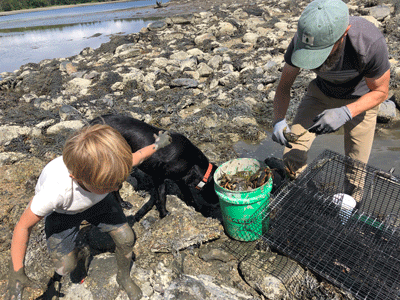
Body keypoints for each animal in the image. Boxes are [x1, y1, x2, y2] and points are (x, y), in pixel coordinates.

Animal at [89, 113, 220, 217]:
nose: (217, 203)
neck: (193, 162)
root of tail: (92, 123)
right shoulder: (159, 176)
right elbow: (162, 196)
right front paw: (164, 214)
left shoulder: (180, 180)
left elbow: (190, 197)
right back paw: (123, 203)